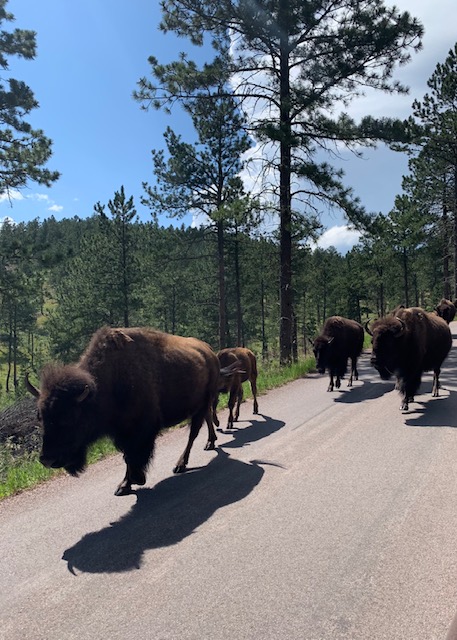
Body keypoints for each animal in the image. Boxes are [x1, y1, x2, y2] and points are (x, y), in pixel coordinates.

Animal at [25, 324, 240, 496]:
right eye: (40, 417)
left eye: (69, 417)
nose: (47, 459)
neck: (108, 383)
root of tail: (209, 353)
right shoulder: (122, 432)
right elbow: (126, 456)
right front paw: (125, 485)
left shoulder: (141, 429)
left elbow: (133, 455)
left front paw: (136, 479)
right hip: (200, 405)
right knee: (206, 420)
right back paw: (210, 443)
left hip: (202, 402)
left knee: (193, 433)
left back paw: (180, 464)